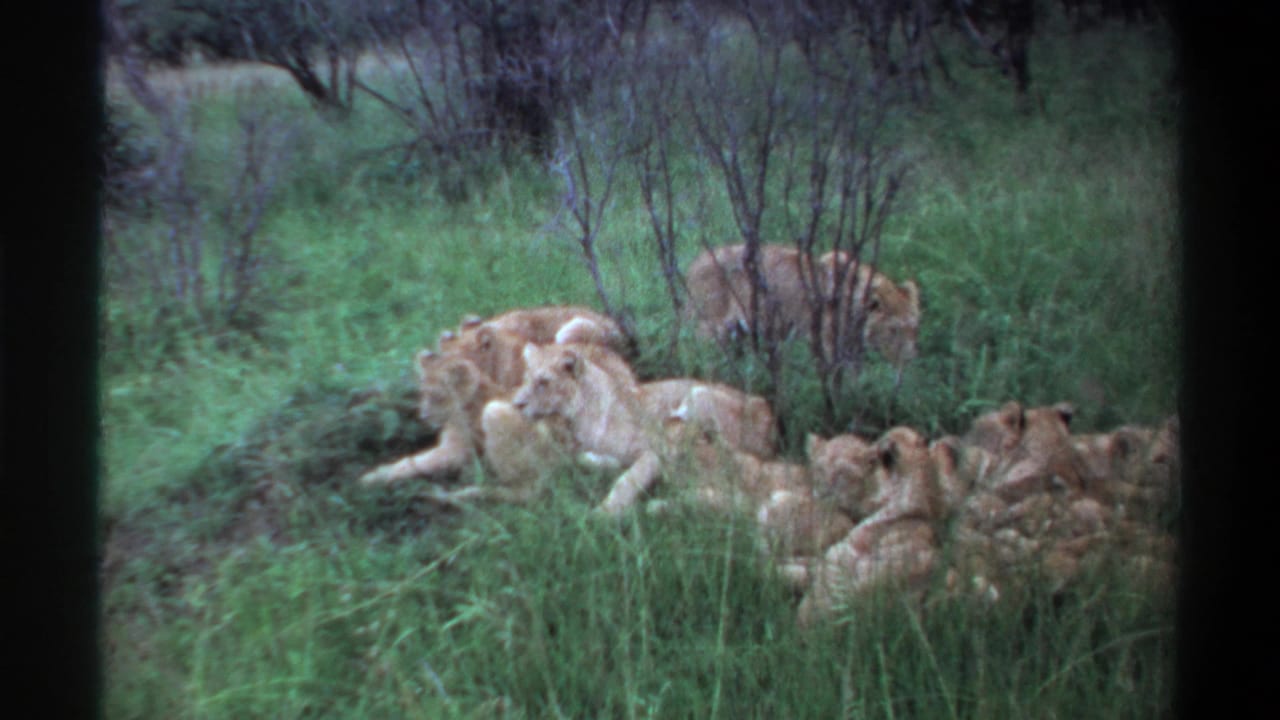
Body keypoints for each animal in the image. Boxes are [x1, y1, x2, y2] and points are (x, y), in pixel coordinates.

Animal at [683, 243, 921, 372]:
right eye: (894, 330)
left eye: (914, 328)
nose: (909, 359)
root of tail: (693, 264)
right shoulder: (828, 344)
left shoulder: (853, 352)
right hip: (709, 330)